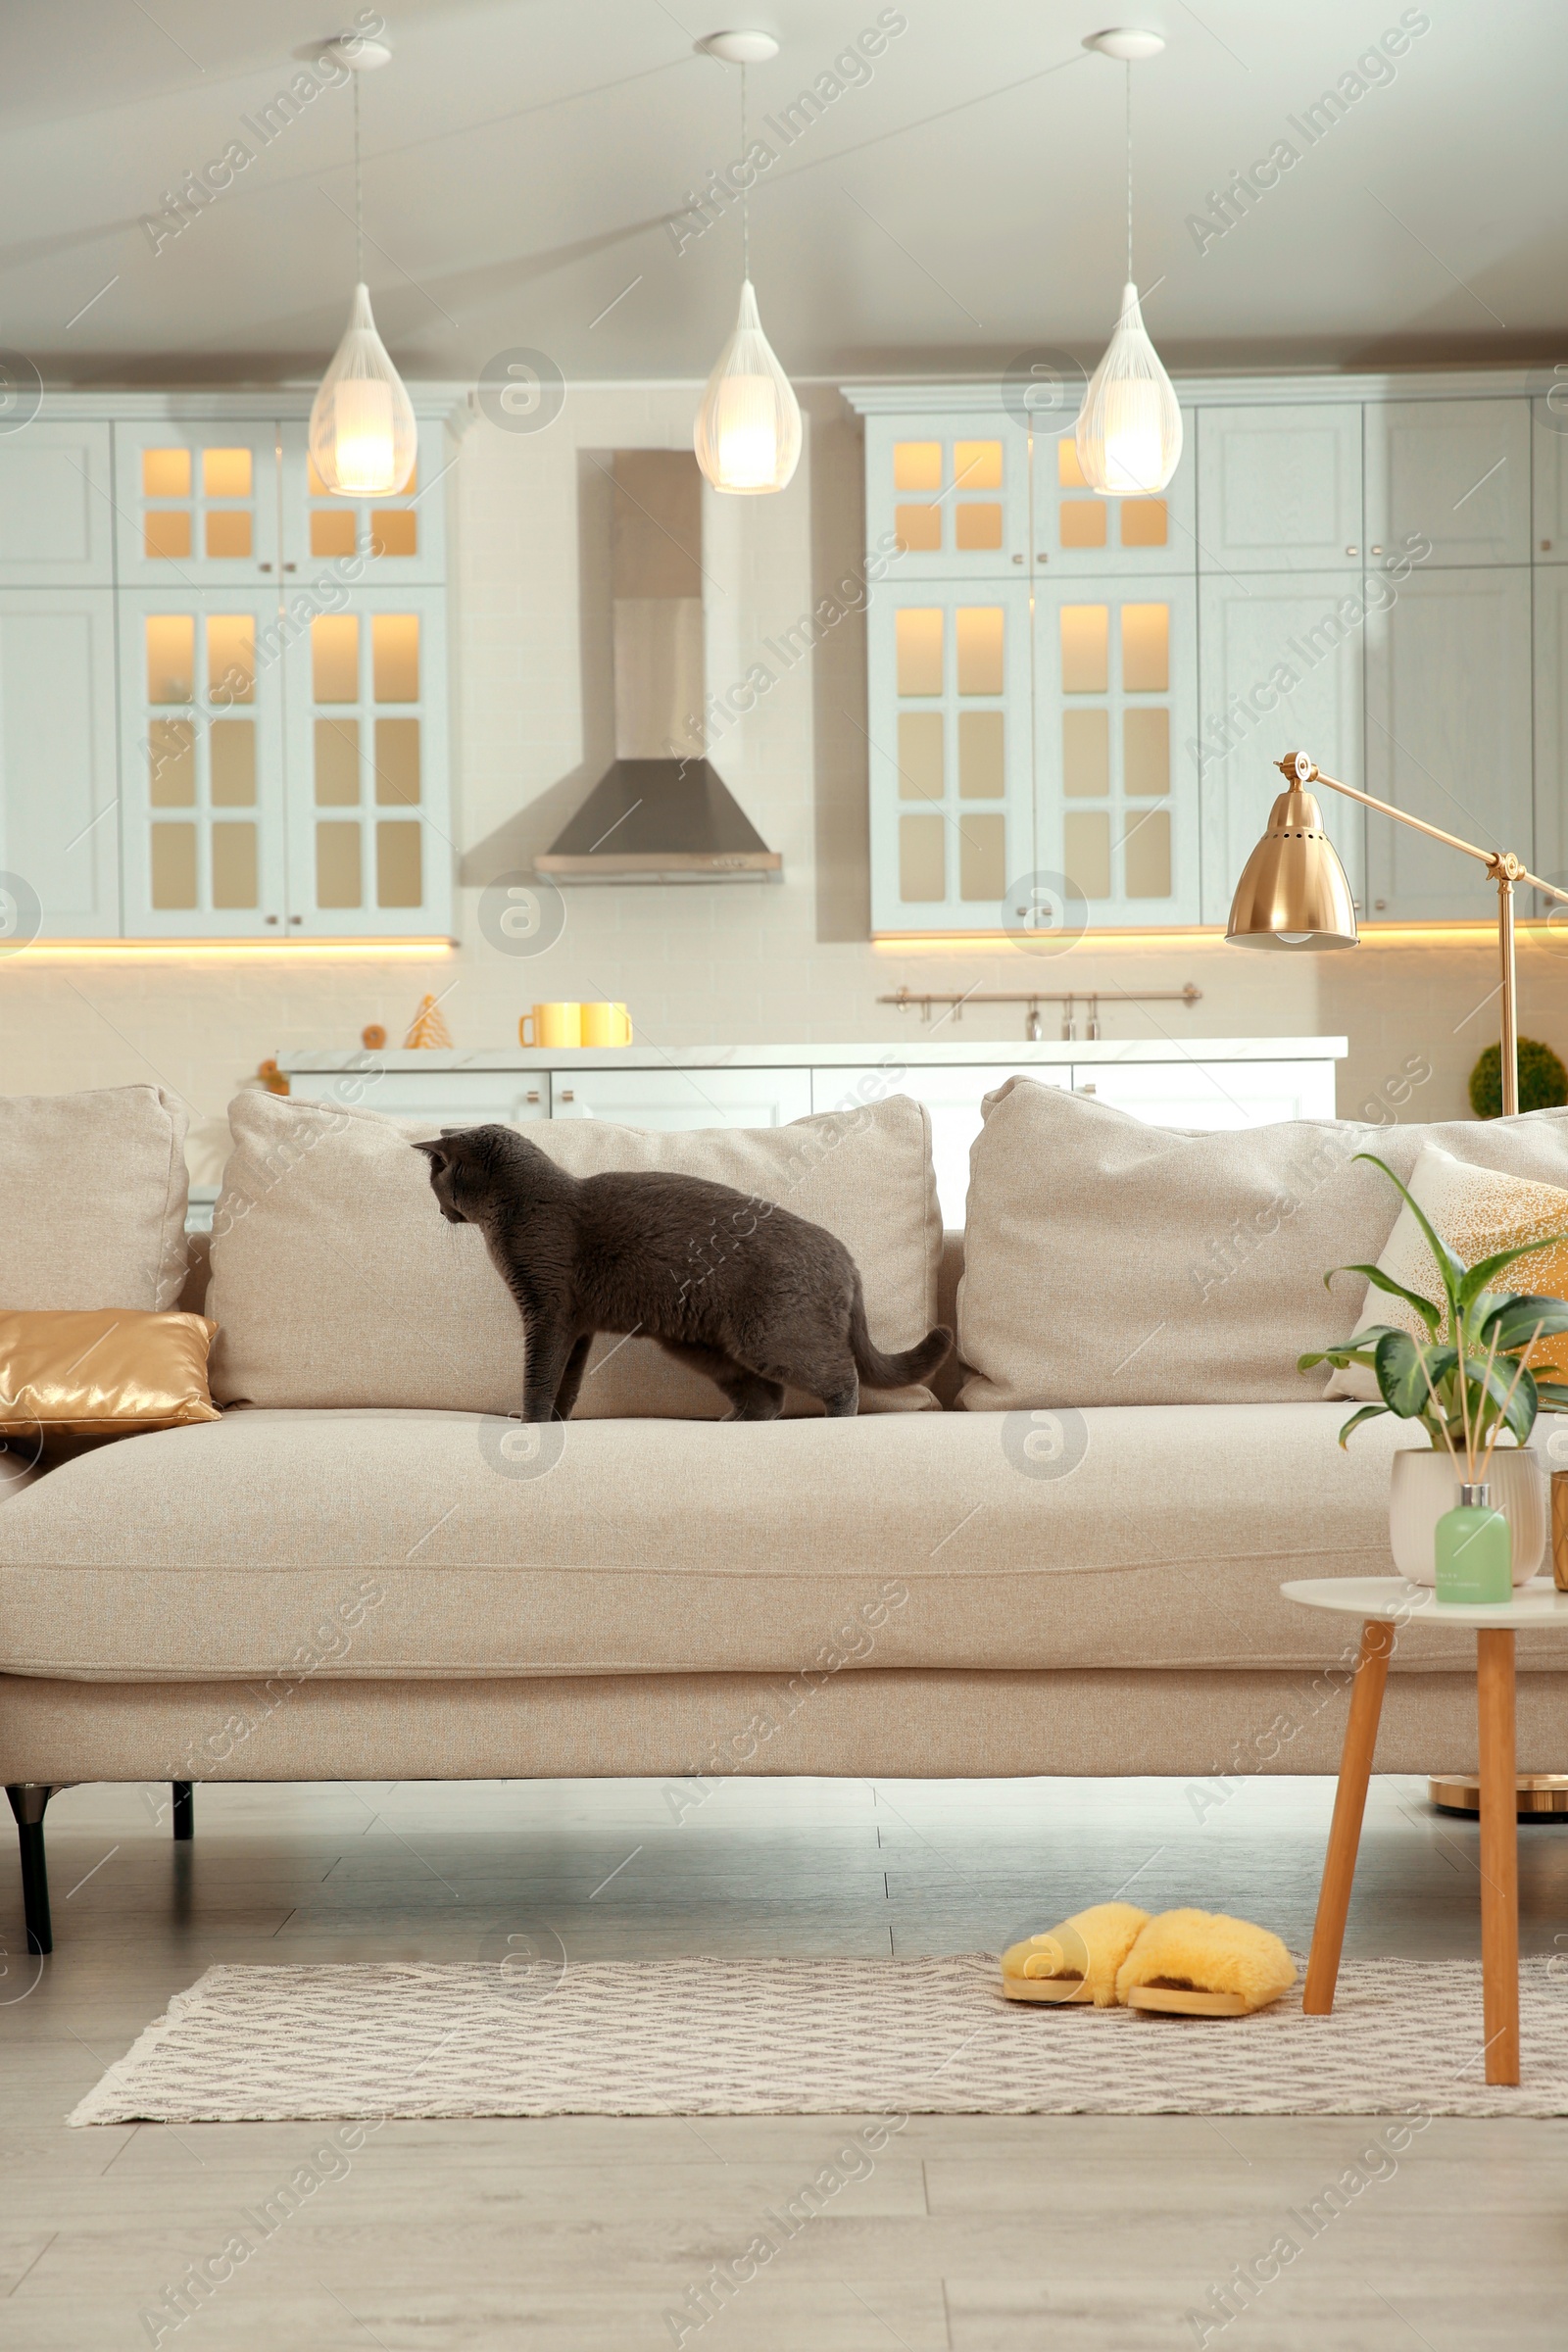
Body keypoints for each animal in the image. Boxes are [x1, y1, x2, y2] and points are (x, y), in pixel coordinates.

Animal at [411, 1124, 950, 1420]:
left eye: (435, 1181)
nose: (437, 1212)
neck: (517, 1208)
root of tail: (845, 1254)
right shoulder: (575, 1324)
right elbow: (566, 1379)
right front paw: (554, 1420)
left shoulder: (546, 1309)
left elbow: (539, 1375)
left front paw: (529, 1422)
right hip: (703, 1345)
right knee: (769, 1396)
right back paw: (732, 1422)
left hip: (769, 1335)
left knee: (840, 1374)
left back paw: (838, 1418)